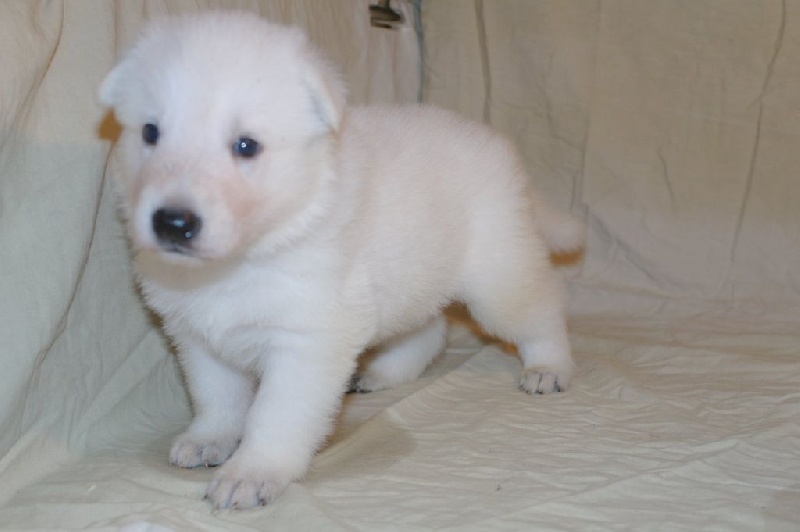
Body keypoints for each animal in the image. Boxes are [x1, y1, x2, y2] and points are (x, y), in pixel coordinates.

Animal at [99, 12, 584, 510]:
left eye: (246, 145)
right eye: (151, 133)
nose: (173, 223)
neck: (242, 260)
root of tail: (501, 149)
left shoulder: (308, 340)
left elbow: (275, 415)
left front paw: (252, 473)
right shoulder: (197, 335)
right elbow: (217, 398)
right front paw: (208, 440)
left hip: (497, 275)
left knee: (542, 306)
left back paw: (548, 368)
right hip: (411, 279)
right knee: (429, 329)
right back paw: (381, 373)